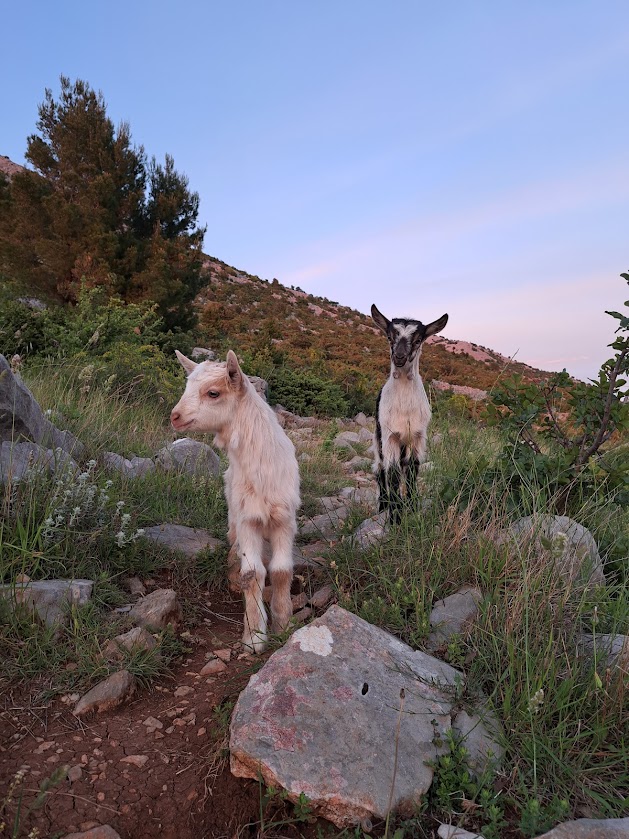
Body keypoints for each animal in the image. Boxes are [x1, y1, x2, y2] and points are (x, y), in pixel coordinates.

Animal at [170, 350, 300, 653]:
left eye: (213, 392)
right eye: (186, 386)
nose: (175, 416)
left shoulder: (285, 520)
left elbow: (281, 571)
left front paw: (283, 623)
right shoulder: (247, 519)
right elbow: (252, 573)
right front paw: (254, 637)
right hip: (233, 516)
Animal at [371, 304, 448, 523]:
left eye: (418, 339)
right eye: (389, 336)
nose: (399, 357)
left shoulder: (418, 436)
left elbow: (413, 471)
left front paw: (412, 506)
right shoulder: (390, 437)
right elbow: (393, 474)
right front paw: (395, 515)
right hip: (377, 440)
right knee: (380, 470)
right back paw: (383, 505)